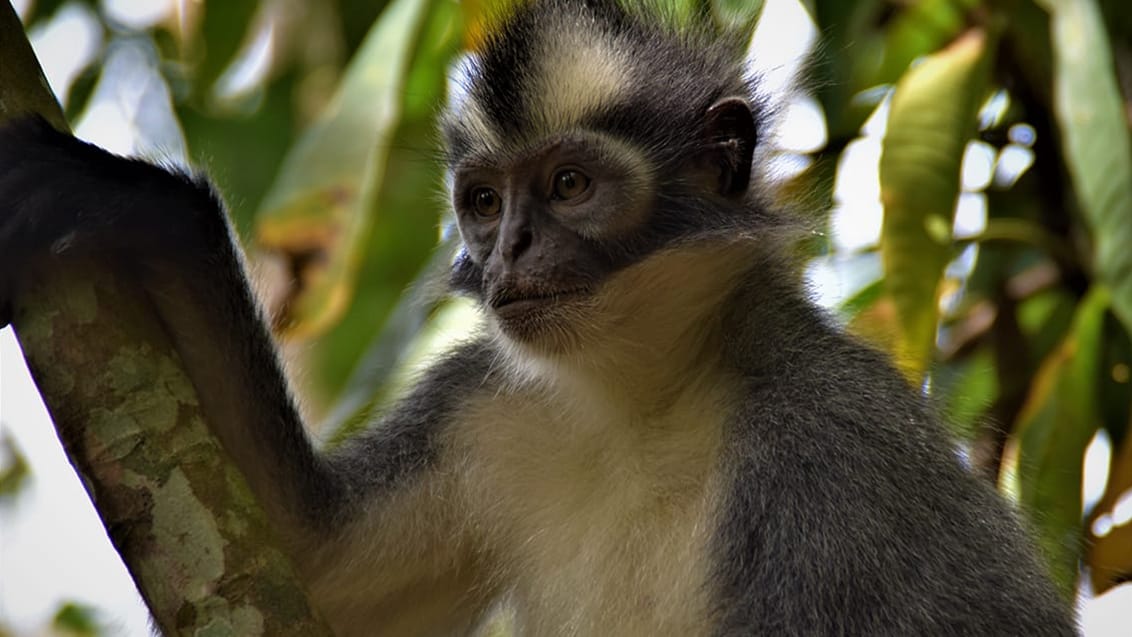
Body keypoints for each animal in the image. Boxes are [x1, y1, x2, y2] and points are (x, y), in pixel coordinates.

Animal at [0, 0, 1077, 633]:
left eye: (568, 186)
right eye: (484, 201)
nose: (508, 251)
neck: (640, 399)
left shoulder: (825, 451)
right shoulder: (486, 404)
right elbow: (311, 564)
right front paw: (137, 209)